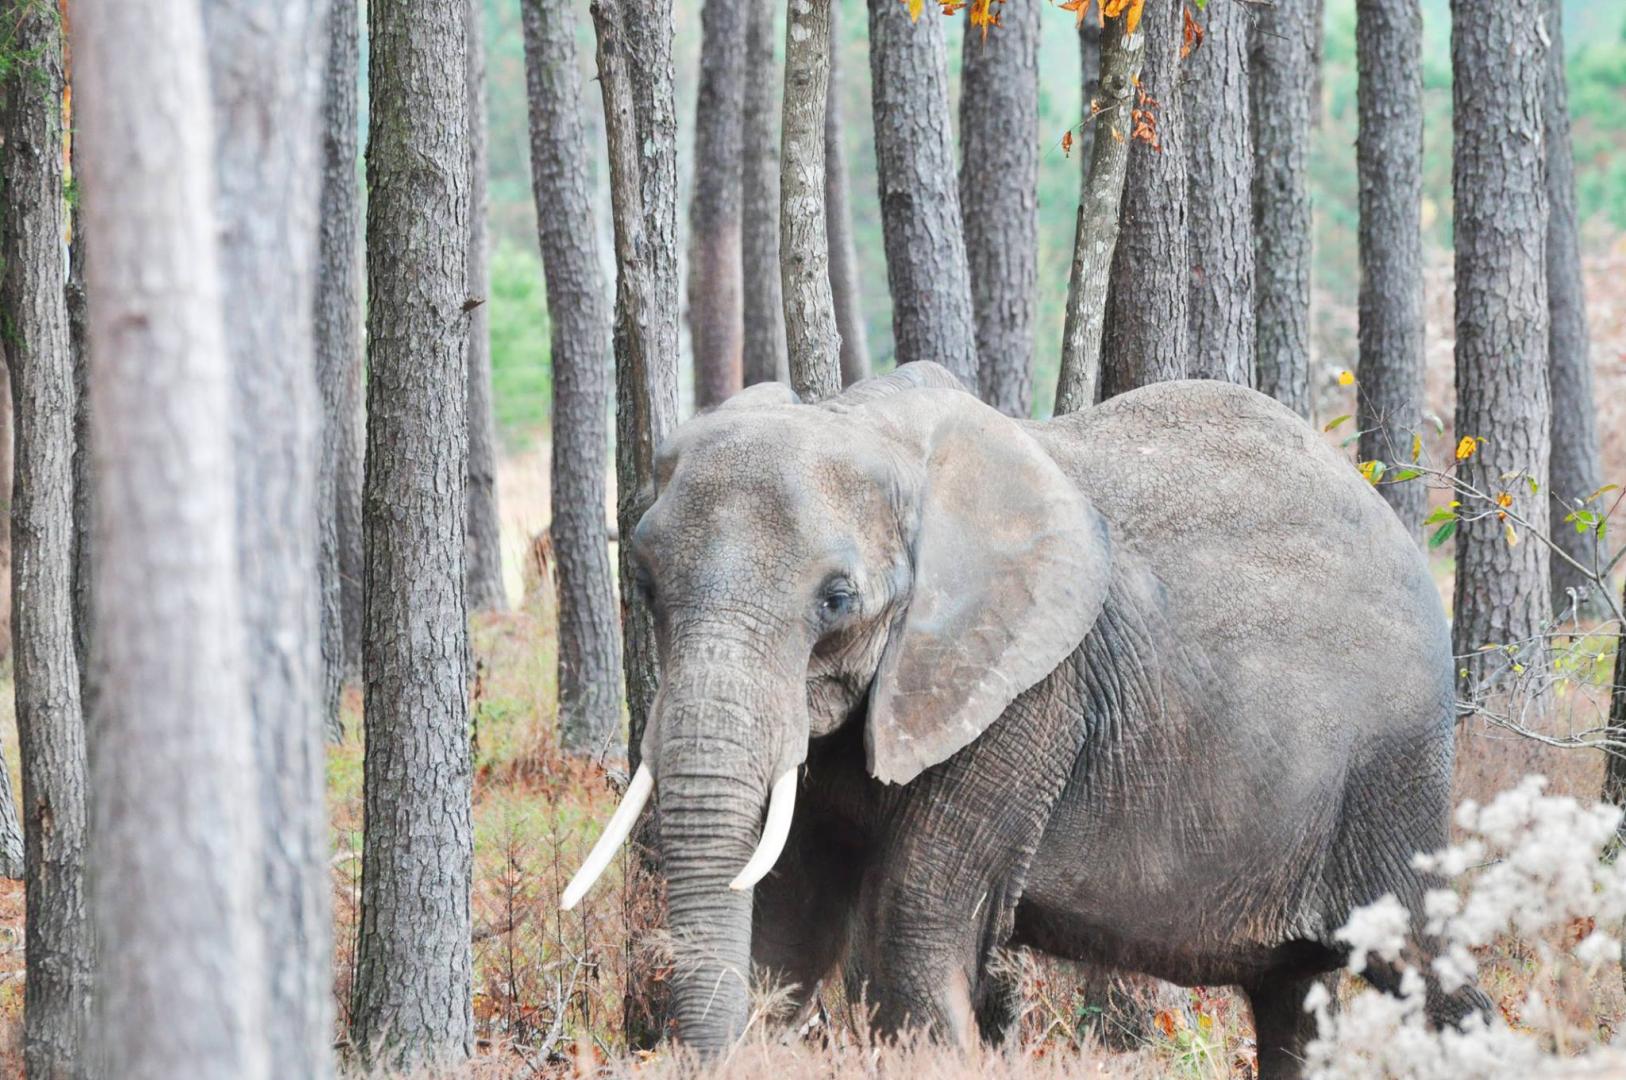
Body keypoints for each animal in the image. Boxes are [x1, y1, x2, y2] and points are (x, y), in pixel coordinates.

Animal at [561, 362, 1485, 1077]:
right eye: (644, 584)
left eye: (837, 599)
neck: (871, 426)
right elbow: (787, 922)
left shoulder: (1026, 698)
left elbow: (912, 930)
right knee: (1292, 996)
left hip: (1390, 769)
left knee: (1427, 965)